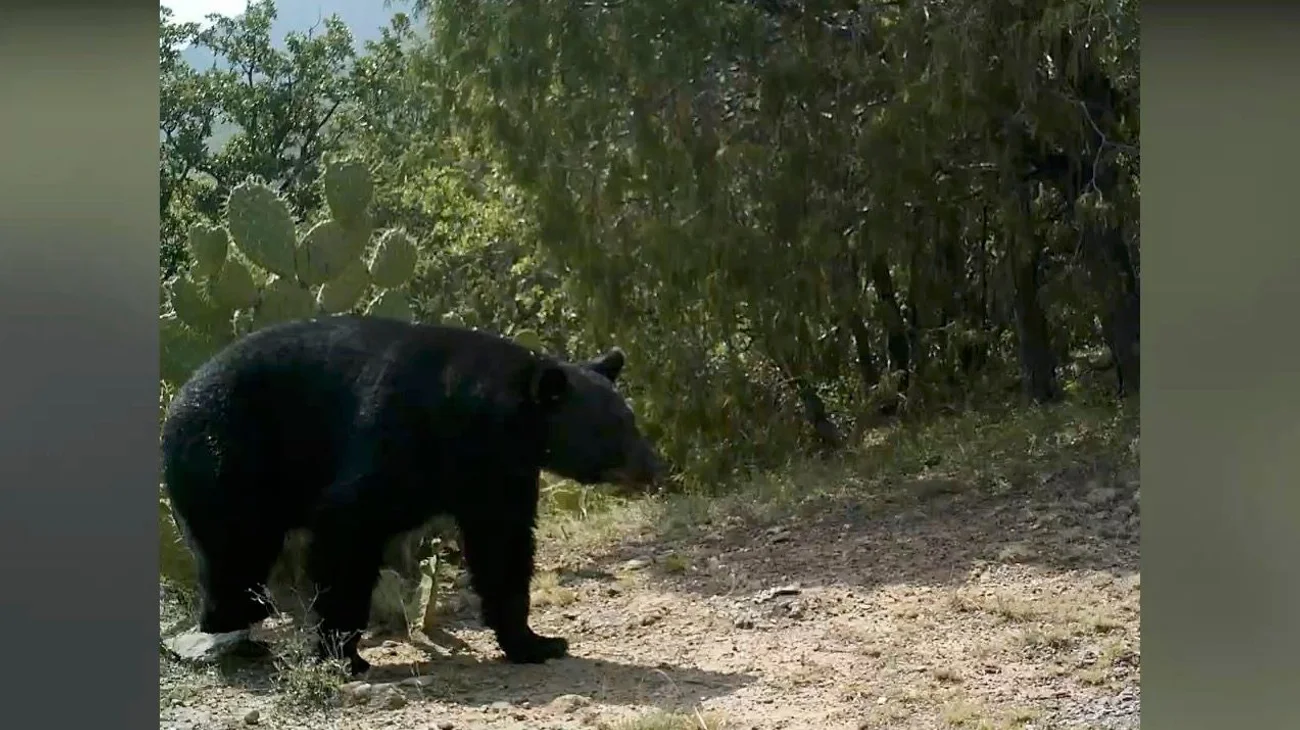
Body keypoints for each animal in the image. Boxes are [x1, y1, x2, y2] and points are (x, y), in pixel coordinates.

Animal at [161, 314, 663, 675]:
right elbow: (348, 525)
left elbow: (503, 548)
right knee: (235, 552)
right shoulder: (399, 436)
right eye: (614, 429)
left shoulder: (499, 475)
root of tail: (175, 403)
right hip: (230, 458)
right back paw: (234, 635)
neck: (485, 421)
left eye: (630, 420)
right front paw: (344, 656)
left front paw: (536, 642)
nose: (653, 467)